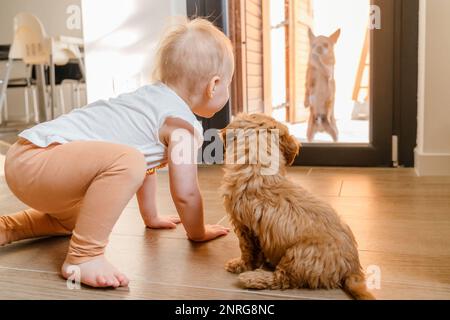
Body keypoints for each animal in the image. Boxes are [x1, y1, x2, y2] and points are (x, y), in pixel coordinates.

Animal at [220, 113, 374, 300]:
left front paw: (240, 265)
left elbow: (247, 250)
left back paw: (252, 278)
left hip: (299, 254)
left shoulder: (243, 226)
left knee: (284, 278)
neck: (257, 167)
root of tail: (352, 268)